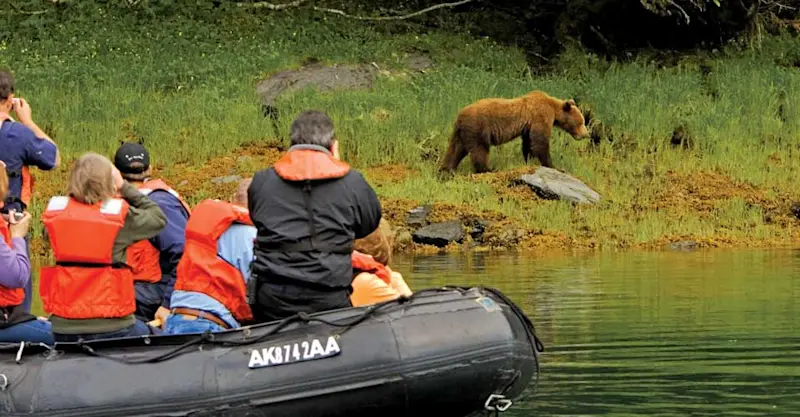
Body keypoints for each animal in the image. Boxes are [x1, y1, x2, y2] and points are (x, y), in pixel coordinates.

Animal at [438, 90, 591, 174]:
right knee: (479, 150)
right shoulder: (540, 116)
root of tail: (459, 116)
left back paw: (447, 169)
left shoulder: (528, 126)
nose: (586, 134)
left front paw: (530, 160)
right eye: (581, 122)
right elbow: (540, 141)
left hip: (461, 132)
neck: (554, 110)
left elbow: (529, 143)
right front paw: (552, 165)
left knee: (456, 150)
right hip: (478, 128)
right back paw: (488, 169)